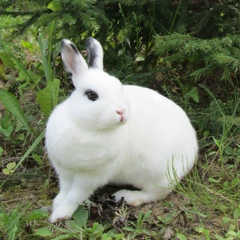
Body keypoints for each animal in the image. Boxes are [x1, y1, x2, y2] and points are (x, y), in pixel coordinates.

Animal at [45, 36, 197, 222]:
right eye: (92, 95)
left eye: (119, 87)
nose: (121, 111)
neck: (85, 126)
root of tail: (193, 149)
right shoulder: (64, 171)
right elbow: (65, 189)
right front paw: (56, 203)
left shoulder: (90, 178)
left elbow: (74, 196)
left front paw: (59, 215)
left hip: (159, 176)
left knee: (156, 194)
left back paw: (126, 196)